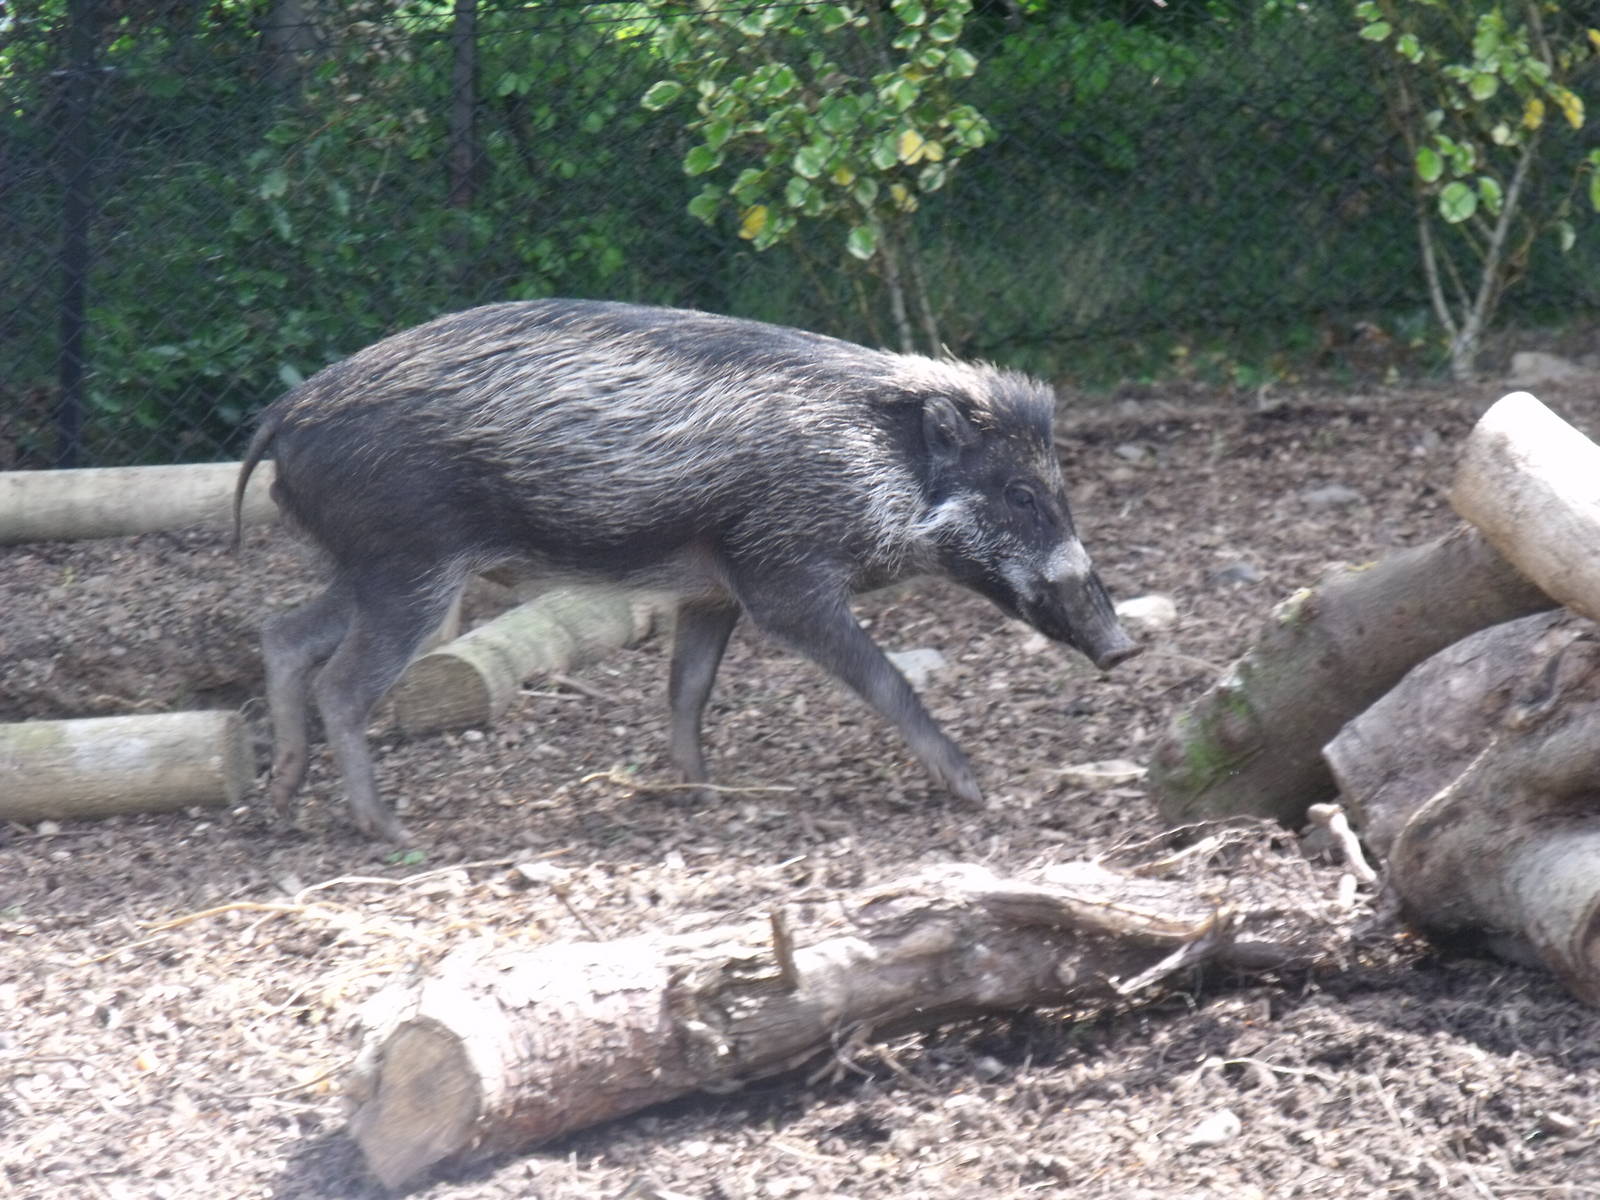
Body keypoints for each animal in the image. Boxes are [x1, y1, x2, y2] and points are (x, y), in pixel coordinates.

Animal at [234, 299, 1138, 842]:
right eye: (1020, 493)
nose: (1124, 647)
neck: (872, 467)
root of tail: (284, 413)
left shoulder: (712, 589)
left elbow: (688, 688)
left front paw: (703, 792)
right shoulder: (782, 580)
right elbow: (884, 679)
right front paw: (973, 789)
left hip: (368, 568)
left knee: (282, 636)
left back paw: (280, 806)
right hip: (412, 566)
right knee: (341, 684)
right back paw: (391, 830)